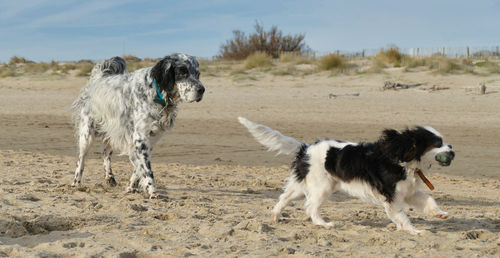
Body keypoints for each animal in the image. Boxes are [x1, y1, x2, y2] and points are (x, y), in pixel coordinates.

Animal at [71, 52, 204, 199]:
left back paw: (109, 177)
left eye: (197, 74)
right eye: (183, 72)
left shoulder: (151, 139)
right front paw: (153, 192)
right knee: (81, 160)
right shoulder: (140, 138)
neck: (156, 92)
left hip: (115, 132)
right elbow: (147, 169)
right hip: (87, 135)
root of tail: (100, 78)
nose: (202, 90)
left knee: (105, 153)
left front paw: (131, 186)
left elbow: (138, 168)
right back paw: (76, 183)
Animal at [240, 118, 456, 235]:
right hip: (322, 187)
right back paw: (323, 224)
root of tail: (306, 147)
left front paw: (440, 214)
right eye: (437, 143)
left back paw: (275, 217)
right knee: (310, 207)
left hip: (302, 185)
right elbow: (402, 216)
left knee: (283, 198)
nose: (452, 150)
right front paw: (413, 230)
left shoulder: (409, 192)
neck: (403, 159)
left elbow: (428, 199)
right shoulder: (392, 197)